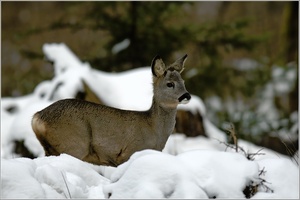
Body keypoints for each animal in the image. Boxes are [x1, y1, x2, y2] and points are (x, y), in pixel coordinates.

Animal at [31, 54, 191, 166]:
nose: (187, 96)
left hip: (52, 148)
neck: (153, 129)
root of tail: (37, 117)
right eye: (170, 84)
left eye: (183, 82)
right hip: (72, 144)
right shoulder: (130, 152)